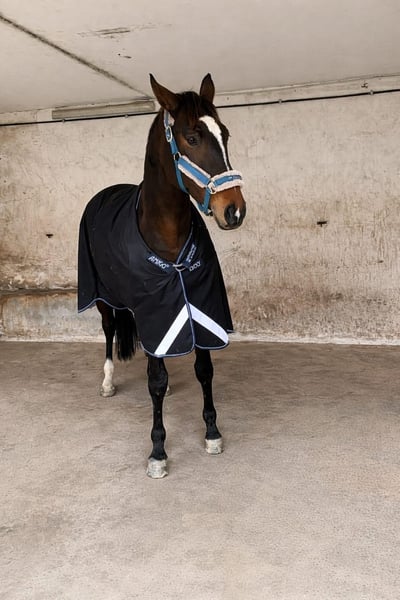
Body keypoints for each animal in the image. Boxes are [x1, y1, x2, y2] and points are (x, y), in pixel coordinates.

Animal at [78, 74, 246, 478]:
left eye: (225, 134)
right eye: (192, 137)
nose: (234, 211)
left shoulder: (197, 306)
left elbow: (204, 369)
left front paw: (212, 433)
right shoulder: (153, 307)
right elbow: (155, 381)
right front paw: (158, 451)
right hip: (105, 300)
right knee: (109, 332)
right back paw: (107, 382)